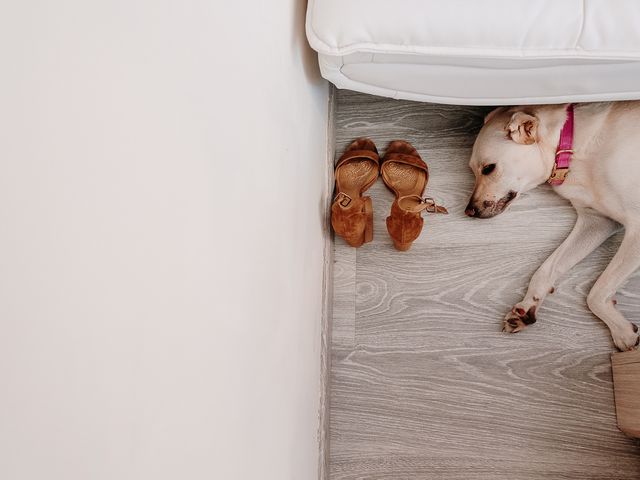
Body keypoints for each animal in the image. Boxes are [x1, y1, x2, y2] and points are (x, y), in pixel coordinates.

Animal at [464, 101, 640, 350]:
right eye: (472, 170)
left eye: (489, 168)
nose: (468, 211)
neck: (572, 148)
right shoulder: (597, 222)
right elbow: (545, 270)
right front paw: (527, 306)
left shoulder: (636, 228)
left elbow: (596, 292)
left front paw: (622, 332)